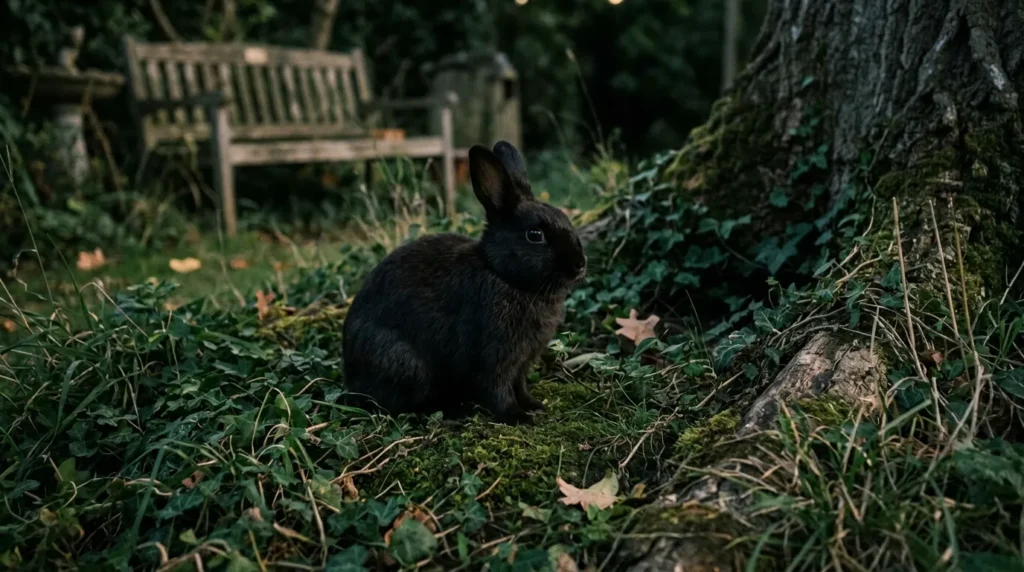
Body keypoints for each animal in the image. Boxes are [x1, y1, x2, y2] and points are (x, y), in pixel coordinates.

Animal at [342, 141, 587, 425]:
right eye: (535, 235)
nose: (580, 263)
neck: (503, 275)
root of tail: (351, 376)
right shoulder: (492, 356)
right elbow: (498, 389)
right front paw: (517, 417)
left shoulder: (521, 363)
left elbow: (520, 385)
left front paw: (534, 405)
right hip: (406, 365)